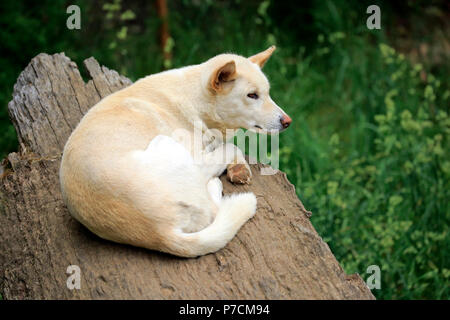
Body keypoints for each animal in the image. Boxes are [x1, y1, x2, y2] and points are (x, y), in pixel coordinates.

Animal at [59, 46, 292, 258]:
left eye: (268, 93)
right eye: (252, 95)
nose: (288, 121)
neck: (195, 99)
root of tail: (159, 233)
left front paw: (239, 168)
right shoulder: (199, 155)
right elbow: (231, 147)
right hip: (169, 146)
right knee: (213, 209)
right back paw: (214, 185)